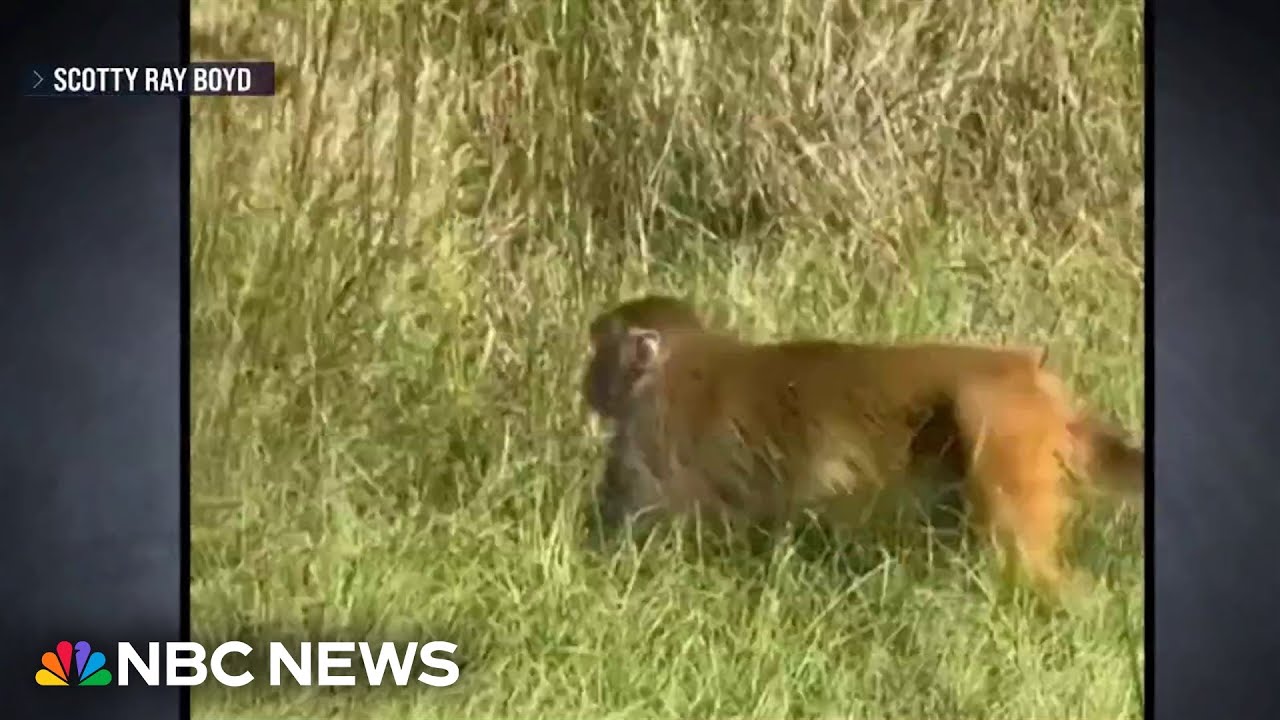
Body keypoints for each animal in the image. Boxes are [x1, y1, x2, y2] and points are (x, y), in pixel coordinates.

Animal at [581, 295, 1144, 596]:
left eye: (599, 350)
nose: (586, 382)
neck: (675, 364)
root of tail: (1036, 379)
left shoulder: (653, 432)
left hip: (1006, 427)